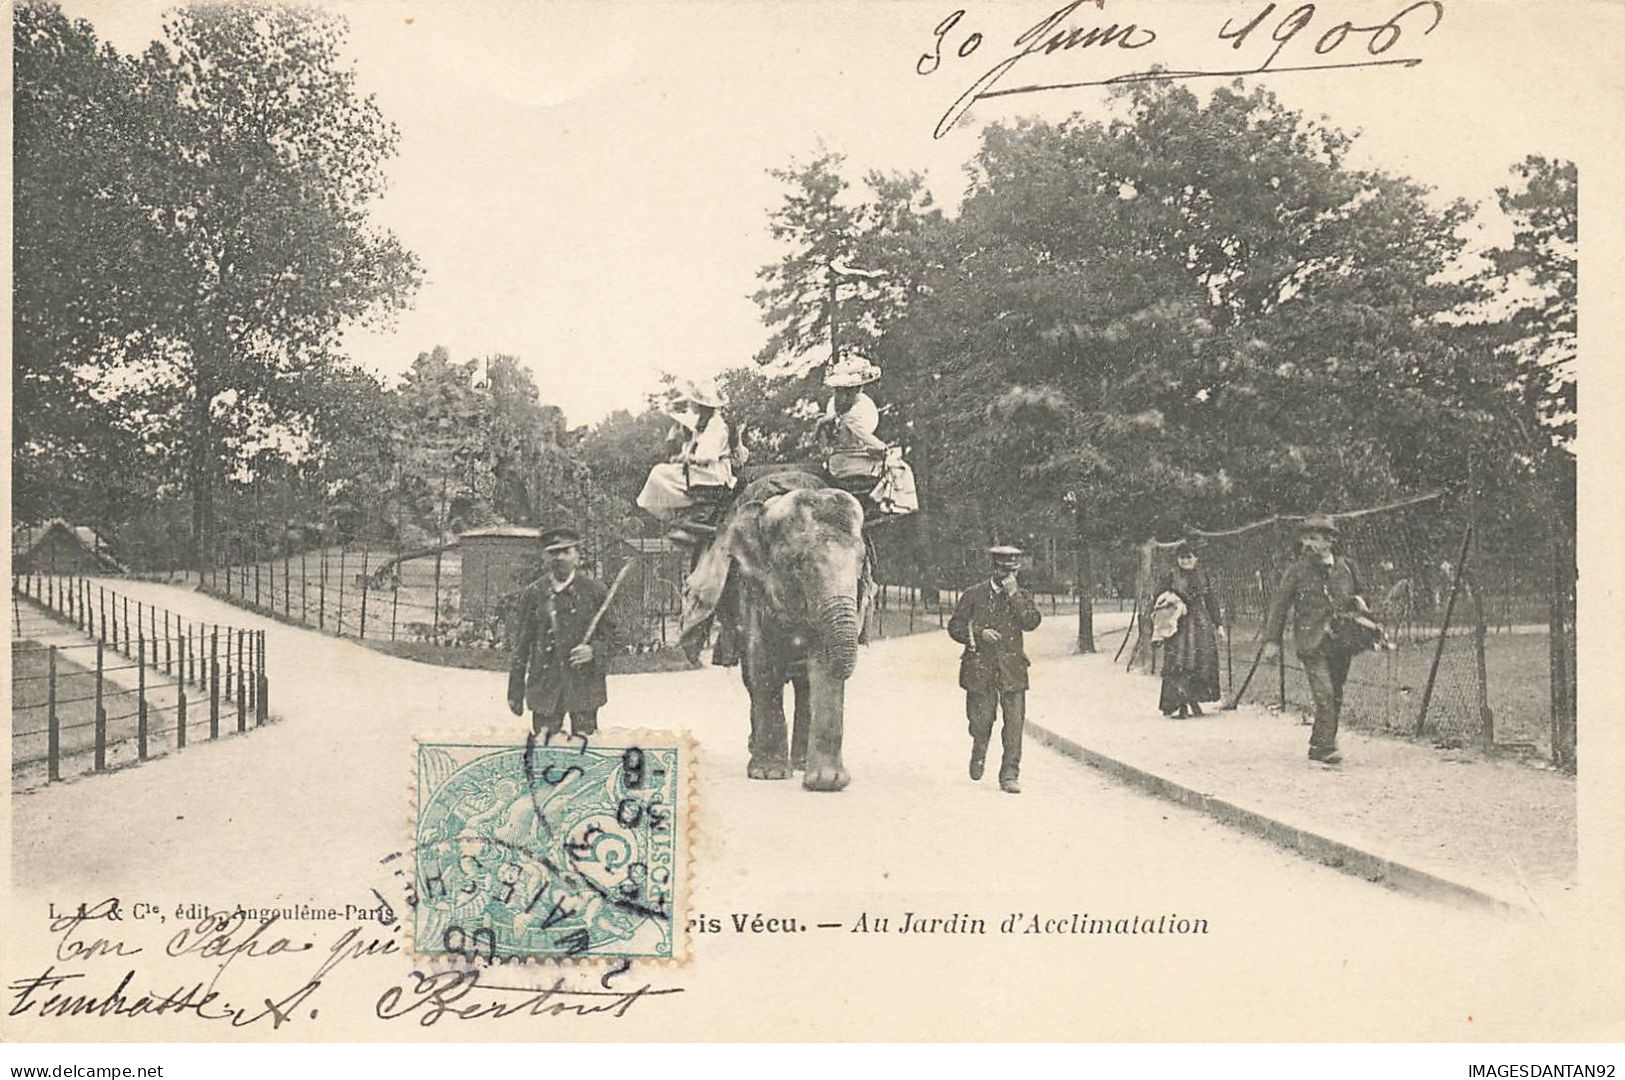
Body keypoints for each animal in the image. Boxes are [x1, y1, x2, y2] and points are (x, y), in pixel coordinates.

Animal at [689, 470, 877, 792]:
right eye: (799, 563)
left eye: (861, 562)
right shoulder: (752, 585)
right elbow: (764, 664)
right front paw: (769, 775)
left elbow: (822, 666)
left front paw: (827, 783)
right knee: (751, 677)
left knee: (804, 686)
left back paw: (800, 762)